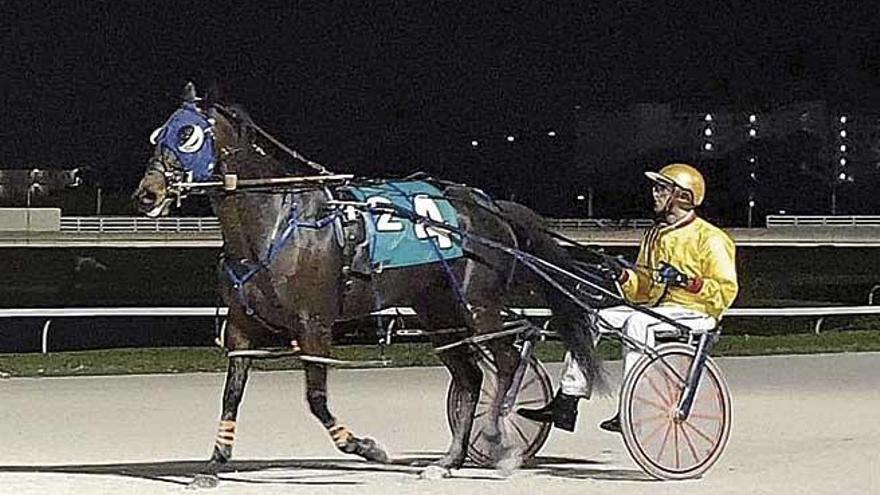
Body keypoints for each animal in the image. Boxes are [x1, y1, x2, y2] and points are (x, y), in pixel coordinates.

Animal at [132, 83, 604, 490]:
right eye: (157, 134)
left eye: (187, 134)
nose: (147, 194)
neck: (275, 224)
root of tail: (489, 205)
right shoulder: (243, 326)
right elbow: (231, 395)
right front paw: (213, 465)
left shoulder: (314, 323)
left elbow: (316, 400)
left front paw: (367, 448)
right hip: (437, 312)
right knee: (470, 377)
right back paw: (448, 461)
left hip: (478, 304)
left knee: (505, 362)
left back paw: (496, 440)